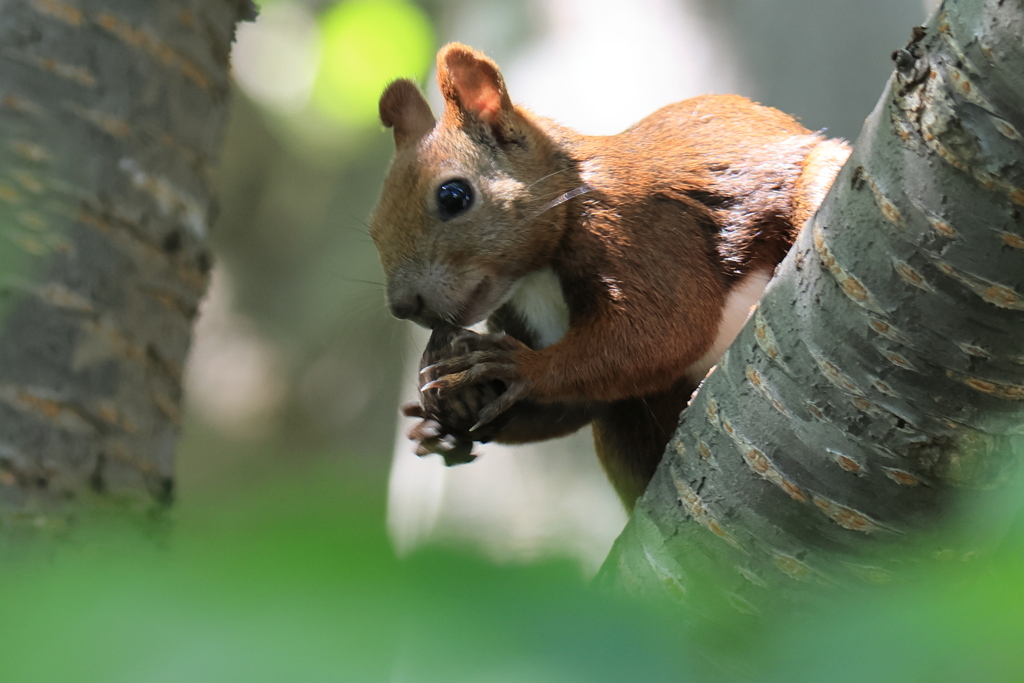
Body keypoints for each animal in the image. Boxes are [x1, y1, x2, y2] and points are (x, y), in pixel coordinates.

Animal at [368, 42, 847, 509]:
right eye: (373, 227)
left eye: (454, 195)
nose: (404, 305)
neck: (535, 276)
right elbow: (581, 401)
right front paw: (450, 420)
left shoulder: (642, 234)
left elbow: (667, 330)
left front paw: (520, 365)